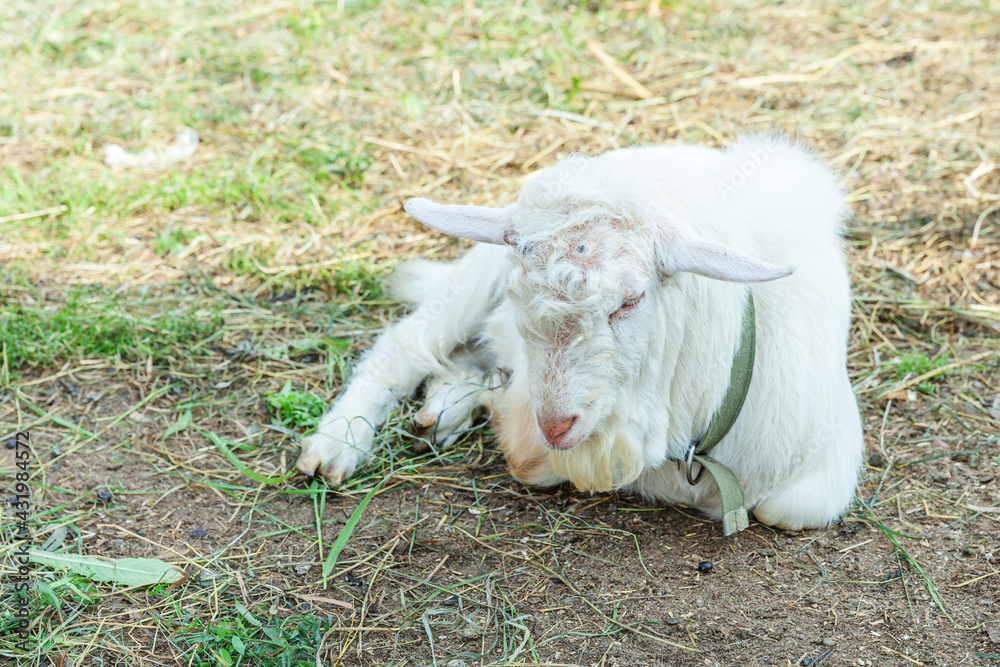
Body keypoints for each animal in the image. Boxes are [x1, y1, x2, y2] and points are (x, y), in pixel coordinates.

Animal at [295, 136, 864, 532]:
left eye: (631, 300)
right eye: (516, 293)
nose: (555, 426)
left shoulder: (812, 482)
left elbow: (786, 510)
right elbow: (525, 458)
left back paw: (444, 407)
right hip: (473, 272)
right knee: (404, 346)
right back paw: (335, 447)